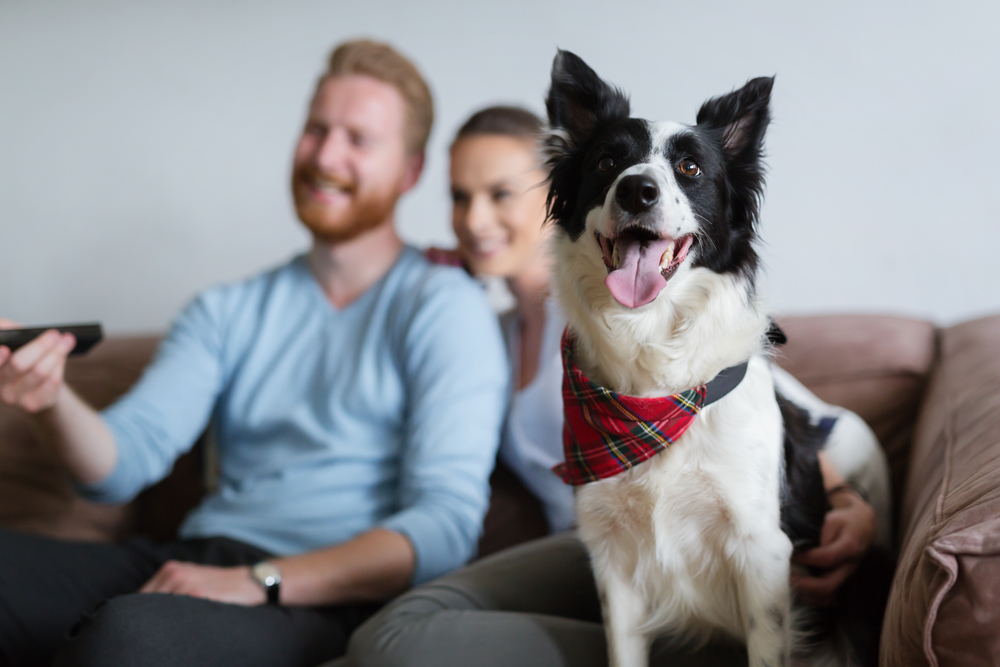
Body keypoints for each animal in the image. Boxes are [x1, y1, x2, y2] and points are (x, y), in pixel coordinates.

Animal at [548, 49, 884, 664]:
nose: (637, 191)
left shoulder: (761, 552)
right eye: (607, 161)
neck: (656, 394)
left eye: (690, 169)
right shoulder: (613, 560)